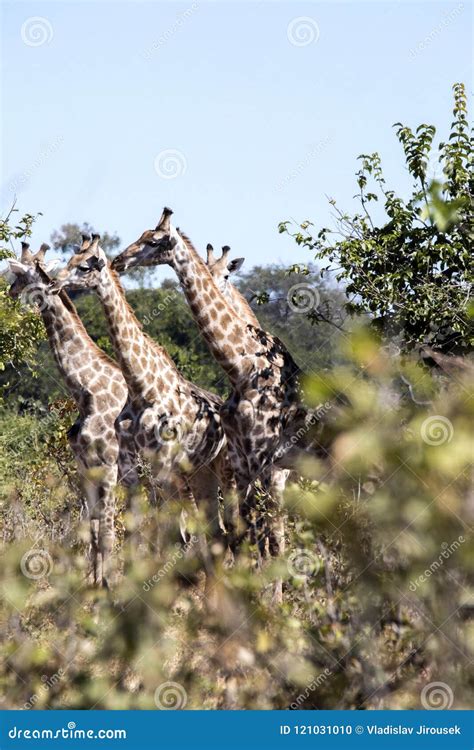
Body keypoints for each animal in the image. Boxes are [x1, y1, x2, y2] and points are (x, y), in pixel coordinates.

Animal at [7, 241, 138, 588]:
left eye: (17, 276)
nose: (9, 293)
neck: (87, 392)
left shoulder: (108, 467)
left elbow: (107, 532)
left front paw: (109, 588)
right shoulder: (85, 468)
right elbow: (92, 531)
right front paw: (92, 586)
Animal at [51, 235, 235, 560]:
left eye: (84, 266)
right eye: (70, 260)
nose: (54, 284)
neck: (140, 387)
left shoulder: (161, 466)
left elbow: (169, 534)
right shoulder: (129, 468)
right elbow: (135, 533)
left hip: (218, 468)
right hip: (199, 472)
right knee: (214, 531)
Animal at [110, 212, 304, 580]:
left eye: (155, 240)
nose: (118, 261)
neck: (243, 367)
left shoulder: (254, 461)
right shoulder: (236, 464)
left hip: (273, 476)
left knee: (273, 534)